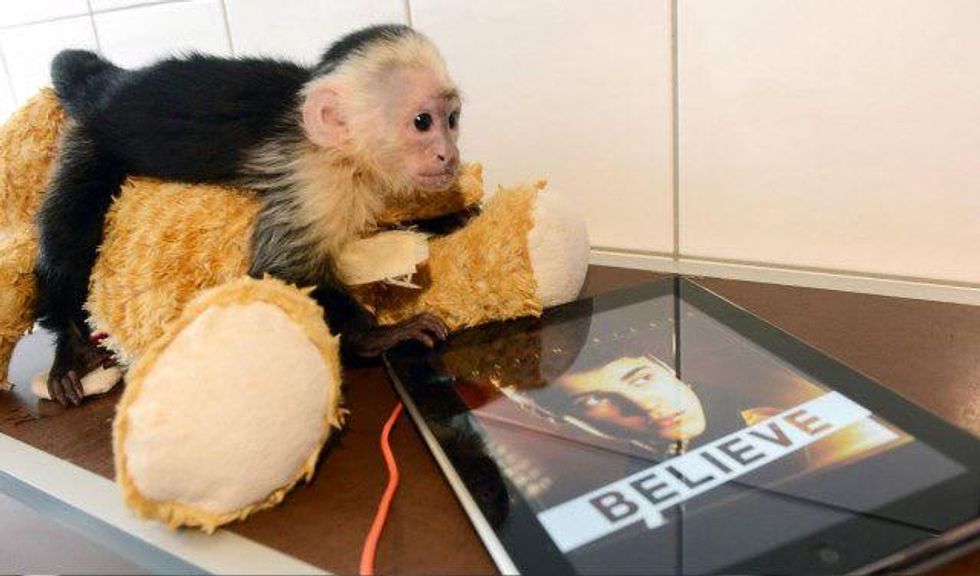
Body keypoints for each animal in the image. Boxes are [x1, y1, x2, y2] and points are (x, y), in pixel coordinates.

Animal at [34, 24, 463, 406]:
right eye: (422, 122)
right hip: (88, 142)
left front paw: (450, 218)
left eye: (452, 120)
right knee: (69, 234)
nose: (450, 155)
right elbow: (281, 269)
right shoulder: (314, 177)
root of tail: (113, 86)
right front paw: (377, 337)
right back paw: (69, 342)